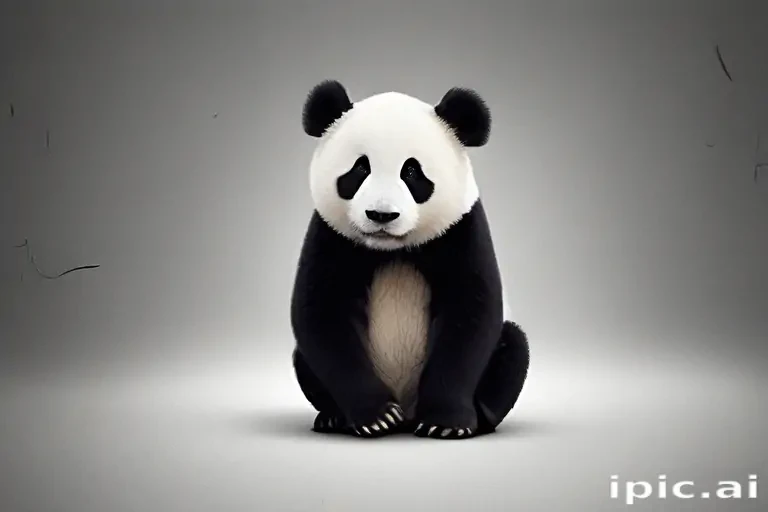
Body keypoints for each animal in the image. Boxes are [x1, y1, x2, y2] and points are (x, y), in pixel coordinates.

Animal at [290, 80, 530, 439]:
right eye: (360, 168)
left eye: (412, 171)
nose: (381, 215)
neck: (393, 248)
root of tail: (408, 409)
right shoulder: (331, 235)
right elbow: (322, 315)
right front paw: (376, 416)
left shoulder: (461, 229)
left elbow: (470, 313)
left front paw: (445, 423)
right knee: (303, 358)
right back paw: (334, 418)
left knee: (513, 347)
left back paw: (480, 420)